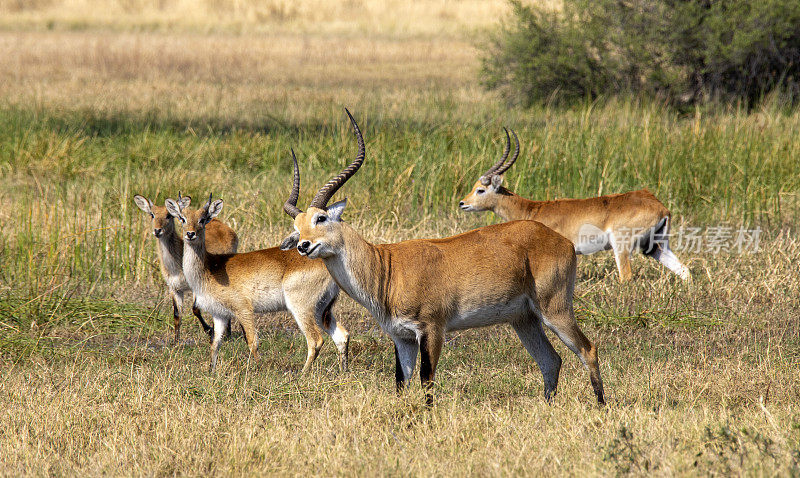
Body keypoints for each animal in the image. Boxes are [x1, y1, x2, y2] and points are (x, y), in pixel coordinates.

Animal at [131, 194, 236, 344]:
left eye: (169, 215)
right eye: (152, 214)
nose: (157, 230)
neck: (176, 266)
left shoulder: (195, 287)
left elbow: (195, 309)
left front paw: (209, 330)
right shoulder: (174, 288)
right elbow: (176, 314)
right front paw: (176, 341)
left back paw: (227, 334)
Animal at [164, 185, 348, 376]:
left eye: (203, 219)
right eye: (182, 218)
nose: (190, 234)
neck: (210, 268)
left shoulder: (243, 310)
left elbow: (252, 341)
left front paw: (259, 369)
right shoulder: (219, 315)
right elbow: (215, 344)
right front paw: (211, 372)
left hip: (302, 308)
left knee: (316, 340)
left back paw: (302, 374)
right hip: (322, 309)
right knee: (342, 335)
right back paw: (344, 371)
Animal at [282, 110, 608, 406]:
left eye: (322, 218)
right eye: (297, 226)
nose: (304, 246)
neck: (388, 269)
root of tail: (560, 240)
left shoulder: (432, 330)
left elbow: (427, 381)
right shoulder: (401, 337)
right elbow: (401, 383)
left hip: (555, 309)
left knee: (588, 349)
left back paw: (601, 407)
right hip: (524, 319)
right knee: (551, 360)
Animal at [460, 129, 692, 282]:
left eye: (481, 190)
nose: (463, 203)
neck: (532, 210)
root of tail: (660, 206)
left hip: (622, 245)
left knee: (626, 277)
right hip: (655, 246)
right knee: (684, 271)